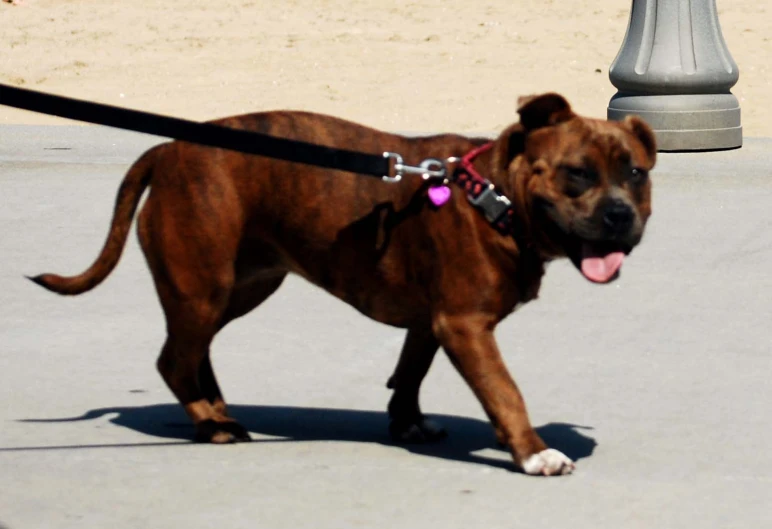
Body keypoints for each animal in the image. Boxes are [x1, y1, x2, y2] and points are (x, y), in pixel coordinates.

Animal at [31, 94, 656, 474]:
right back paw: (212, 425)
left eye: (636, 173)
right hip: (203, 287)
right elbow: (504, 391)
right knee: (174, 360)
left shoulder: (432, 322)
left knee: (193, 351)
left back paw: (217, 410)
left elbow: (410, 372)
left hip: (239, 286)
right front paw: (533, 453)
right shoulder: (466, 326)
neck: (493, 194)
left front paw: (406, 421)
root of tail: (167, 149)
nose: (621, 215)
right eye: (577, 173)